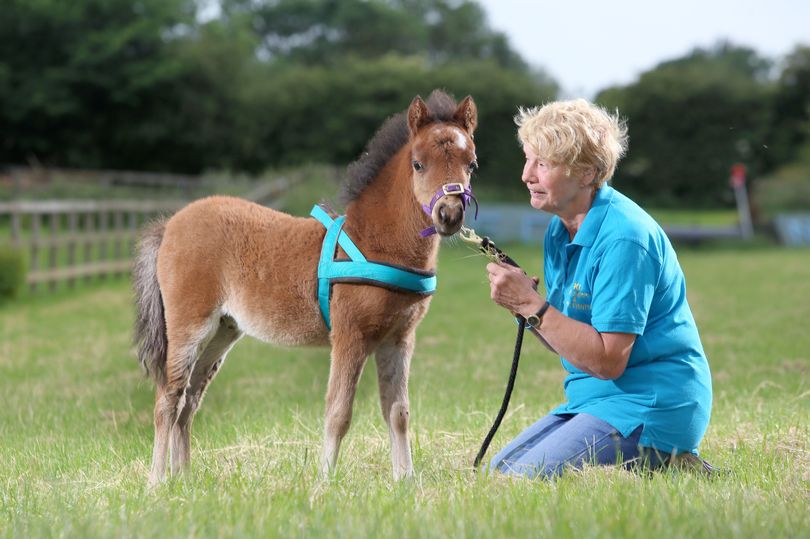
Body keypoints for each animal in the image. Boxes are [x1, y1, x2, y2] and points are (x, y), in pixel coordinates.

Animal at [131, 89, 474, 486]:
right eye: (418, 164)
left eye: (471, 164)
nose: (449, 215)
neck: (374, 240)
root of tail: (170, 224)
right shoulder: (350, 335)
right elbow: (338, 412)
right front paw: (324, 481)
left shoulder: (398, 339)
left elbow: (398, 411)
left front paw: (404, 481)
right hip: (189, 327)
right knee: (168, 399)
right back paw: (157, 481)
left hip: (222, 332)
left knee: (189, 400)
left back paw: (184, 480)